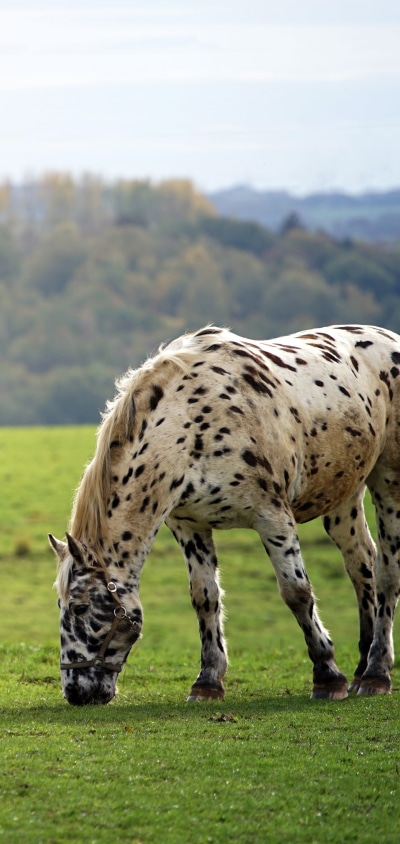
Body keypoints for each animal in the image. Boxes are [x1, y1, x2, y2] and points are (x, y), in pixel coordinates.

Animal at [49, 323, 400, 706]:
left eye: (80, 608)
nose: (75, 691)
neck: (192, 425)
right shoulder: (189, 525)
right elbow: (204, 598)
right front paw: (207, 681)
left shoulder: (273, 517)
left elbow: (297, 592)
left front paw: (327, 676)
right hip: (343, 498)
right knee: (361, 566)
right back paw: (362, 667)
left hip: (387, 482)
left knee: (386, 573)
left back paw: (376, 673)